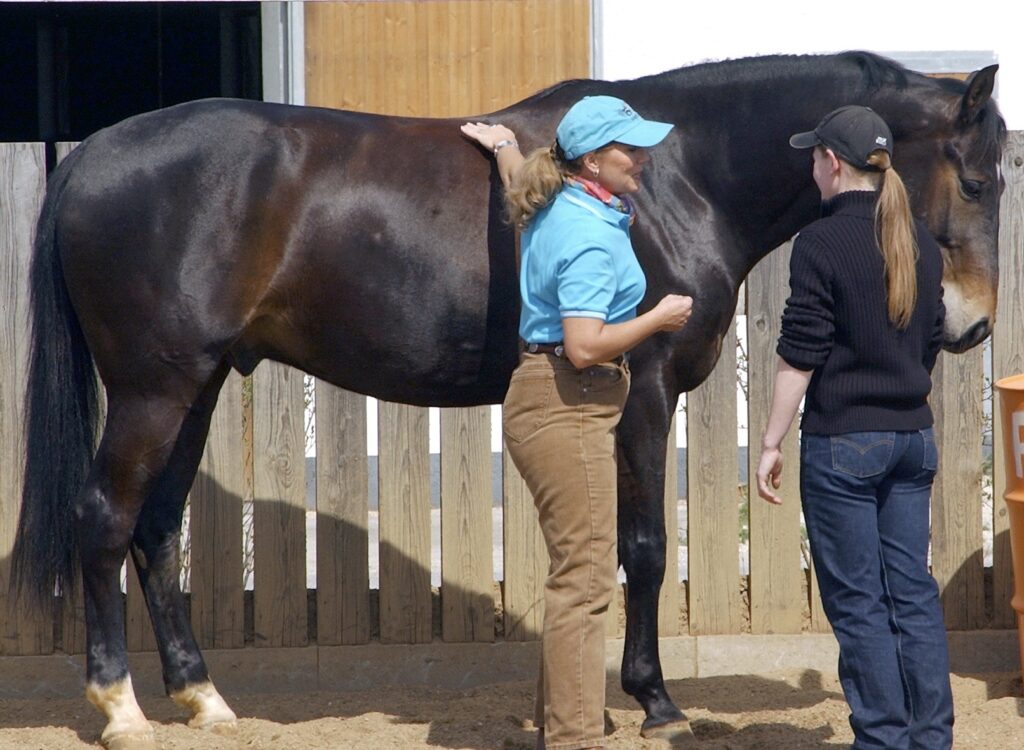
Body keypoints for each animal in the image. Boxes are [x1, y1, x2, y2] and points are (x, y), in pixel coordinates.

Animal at [12, 49, 1003, 745]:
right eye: (977, 176)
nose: (972, 325)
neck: (678, 173)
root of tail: (92, 153)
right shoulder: (645, 389)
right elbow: (645, 548)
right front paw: (655, 701)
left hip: (199, 385)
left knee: (156, 530)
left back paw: (202, 698)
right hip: (153, 388)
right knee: (105, 519)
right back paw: (121, 708)